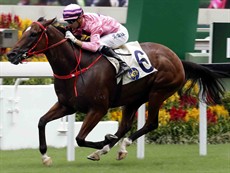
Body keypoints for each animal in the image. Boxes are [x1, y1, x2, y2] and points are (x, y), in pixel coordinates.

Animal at [6, 17, 225, 165]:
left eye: (33, 34)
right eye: (24, 32)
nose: (11, 54)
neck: (76, 67)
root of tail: (178, 59)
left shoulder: (98, 108)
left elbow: (80, 138)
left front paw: (103, 141)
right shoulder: (66, 105)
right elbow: (41, 121)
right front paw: (45, 156)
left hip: (158, 92)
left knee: (150, 124)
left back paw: (117, 145)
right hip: (134, 98)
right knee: (125, 125)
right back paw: (113, 148)